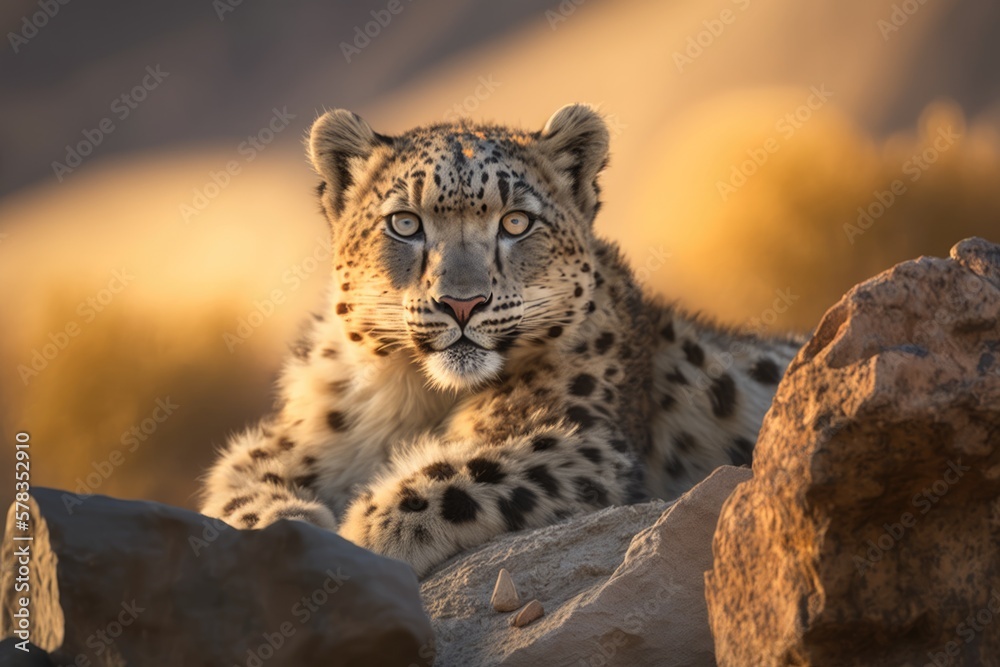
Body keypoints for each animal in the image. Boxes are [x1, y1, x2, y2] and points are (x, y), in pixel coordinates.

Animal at [199, 103, 805, 577]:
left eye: (516, 222)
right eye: (404, 223)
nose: (462, 302)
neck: (415, 397)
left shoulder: (585, 439)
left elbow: (468, 470)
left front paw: (368, 526)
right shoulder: (292, 433)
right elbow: (238, 478)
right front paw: (288, 525)